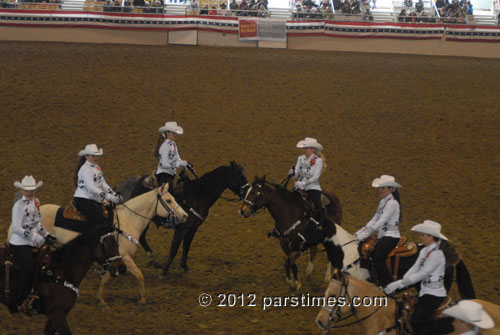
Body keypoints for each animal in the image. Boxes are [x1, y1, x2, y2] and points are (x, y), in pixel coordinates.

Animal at [21, 184, 188, 308]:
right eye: (169, 200)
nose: (185, 215)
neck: (128, 220)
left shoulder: (114, 260)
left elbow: (107, 277)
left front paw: (100, 298)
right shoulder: (123, 257)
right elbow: (138, 275)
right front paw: (142, 299)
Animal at [115, 161, 248, 280]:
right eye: (241, 177)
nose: (247, 195)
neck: (198, 195)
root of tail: (120, 187)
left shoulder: (193, 228)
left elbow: (186, 247)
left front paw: (185, 267)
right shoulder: (181, 229)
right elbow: (174, 249)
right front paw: (164, 272)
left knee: (142, 237)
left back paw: (153, 261)